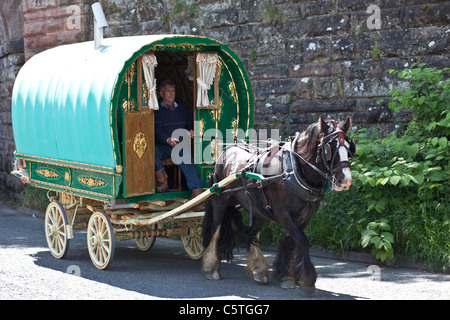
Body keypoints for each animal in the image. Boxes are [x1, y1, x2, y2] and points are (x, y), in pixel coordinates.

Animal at [201, 115, 356, 296]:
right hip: (221, 201)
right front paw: (307, 281)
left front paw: (286, 276)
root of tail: (227, 150)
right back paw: (211, 268)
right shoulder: (283, 215)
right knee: (216, 230)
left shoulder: (305, 217)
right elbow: (303, 241)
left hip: (258, 208)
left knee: (253, 234)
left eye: (350, 148)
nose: (345, 180)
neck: (292, 170)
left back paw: (258, 270)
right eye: (329, 149)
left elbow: (292, 241)